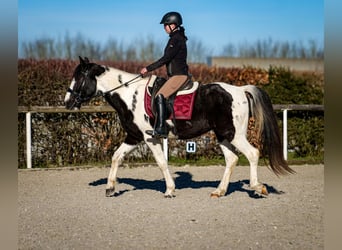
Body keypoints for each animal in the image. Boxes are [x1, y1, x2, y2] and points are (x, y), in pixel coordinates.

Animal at [65, 56, 294, 197]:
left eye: (79, 78)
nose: (67, 102)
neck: (130, 95)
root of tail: (240, 90)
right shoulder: (134, 136)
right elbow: (116, 156)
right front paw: (110, 188)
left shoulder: (150, 137)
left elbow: (161, 162)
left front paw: (169, 190)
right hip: (223, 135)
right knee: (232, 159)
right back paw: (219, 192)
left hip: (234, 134)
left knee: (252, 154)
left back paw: (257, 187)